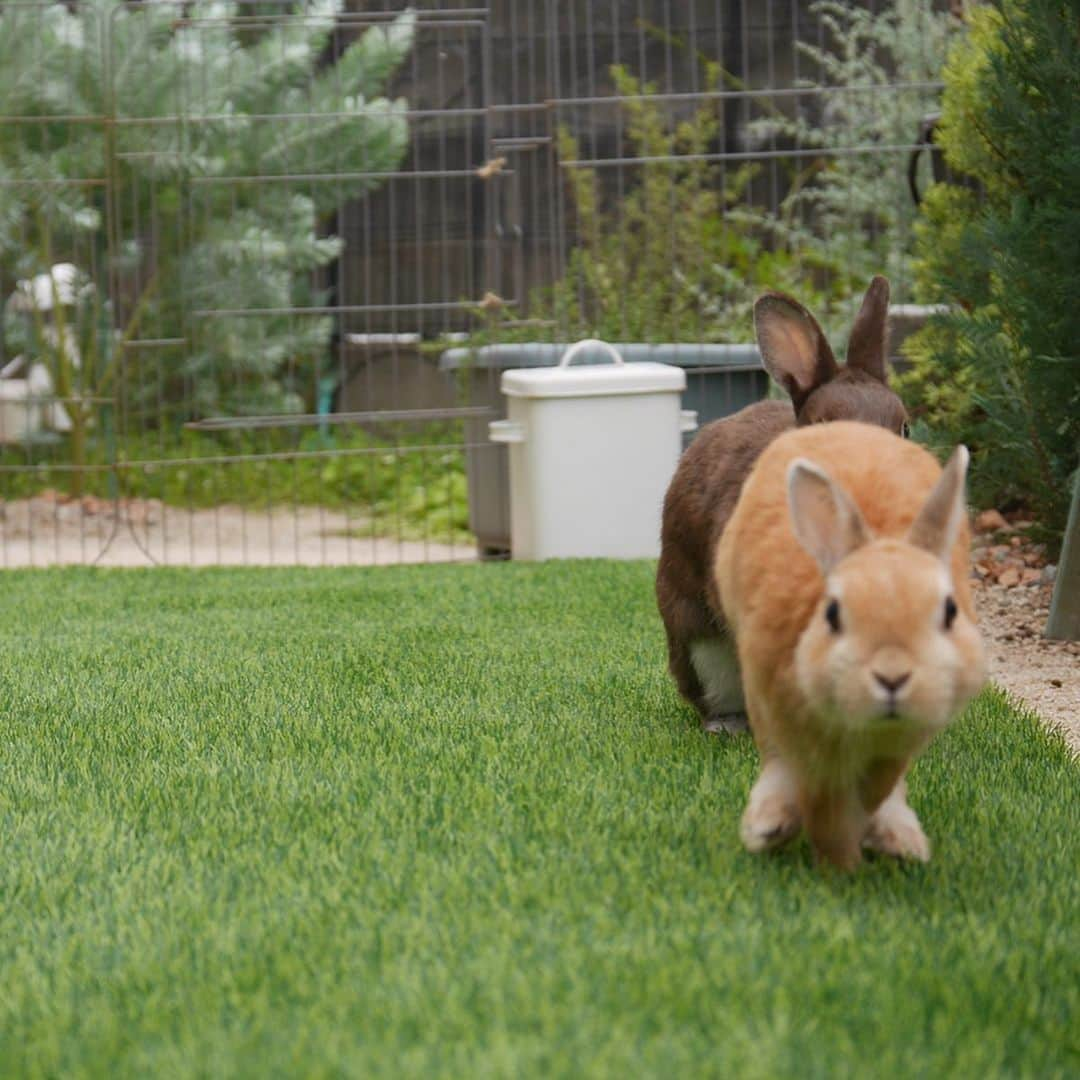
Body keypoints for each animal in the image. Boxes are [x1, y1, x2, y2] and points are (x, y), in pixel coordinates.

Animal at [717, 421, 989, 868]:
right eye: (832, 614)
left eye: (950, 611)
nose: (892, 677)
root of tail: (845, 425)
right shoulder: (794, 725)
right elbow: (818, 799)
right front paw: (838, 865)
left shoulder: (897, 745)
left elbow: (874, 790)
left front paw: (859, 847)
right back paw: (769, 826)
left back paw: (902, 841)